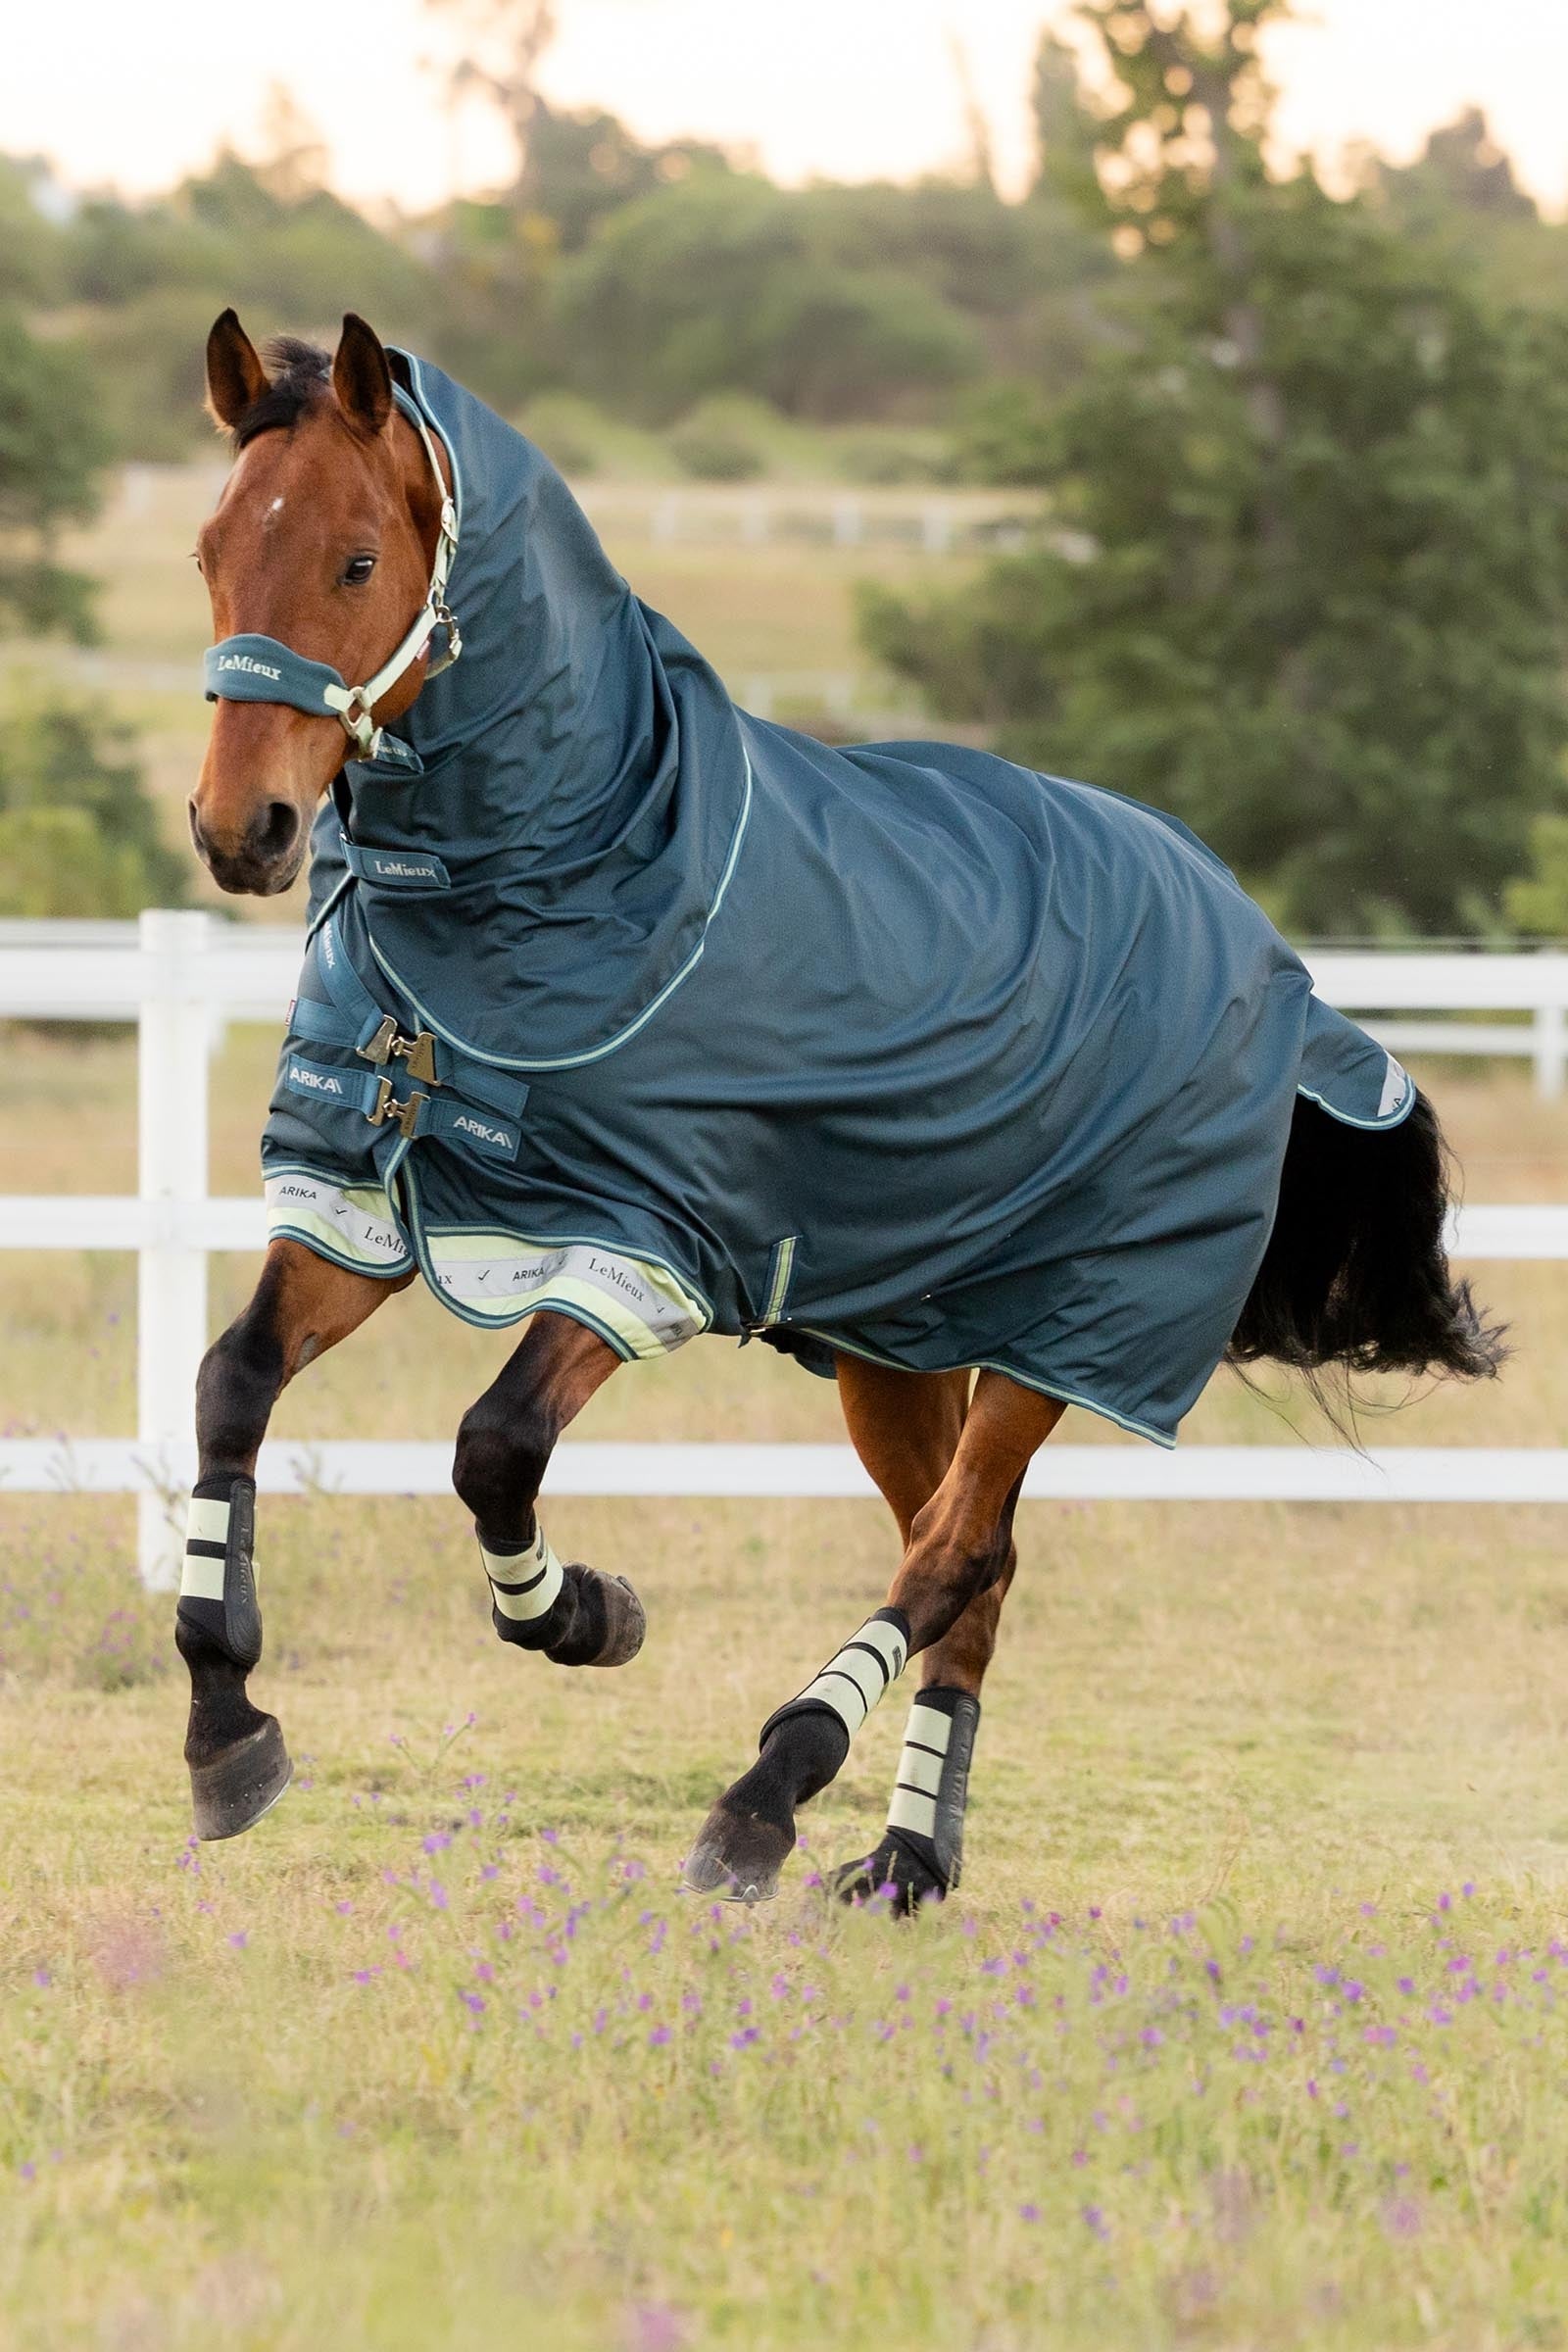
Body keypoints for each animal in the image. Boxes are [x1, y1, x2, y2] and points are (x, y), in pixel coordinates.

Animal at [182, 308, 1502, 1908]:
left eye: (358, 562)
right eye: (209, 551)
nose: (240, 831)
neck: (588, 872)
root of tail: (1262, 947)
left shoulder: (645, 1243)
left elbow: (493, 1447)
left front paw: (589, 1614)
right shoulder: (365, 1204)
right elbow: (235, 1383)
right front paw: (227, 1727)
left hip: (1064, 1337)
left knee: (948, 1559)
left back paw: (768, 1793)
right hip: (901, 1341)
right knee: (973, 1571)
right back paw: (905, 1858)